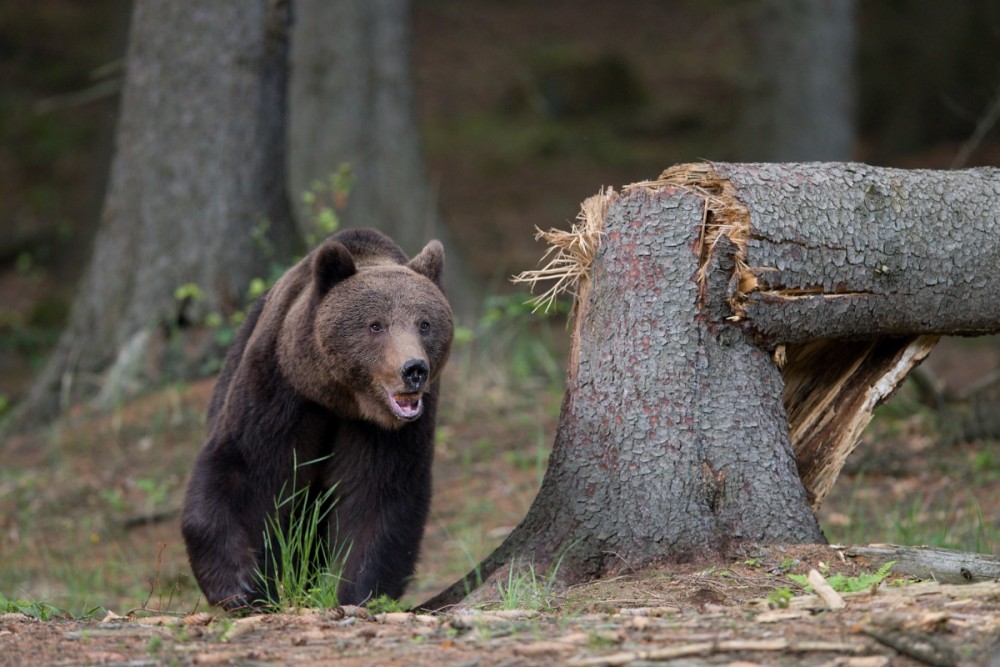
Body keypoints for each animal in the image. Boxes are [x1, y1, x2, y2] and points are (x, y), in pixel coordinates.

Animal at [182, 228, 456, 612]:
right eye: (376, 325)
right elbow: (244, 471)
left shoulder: (387, 432)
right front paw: (243, 585)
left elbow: (379, 496)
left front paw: (357, 592)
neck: (341, 399)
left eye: (425, 323)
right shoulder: (280, 390)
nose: (413, 370)